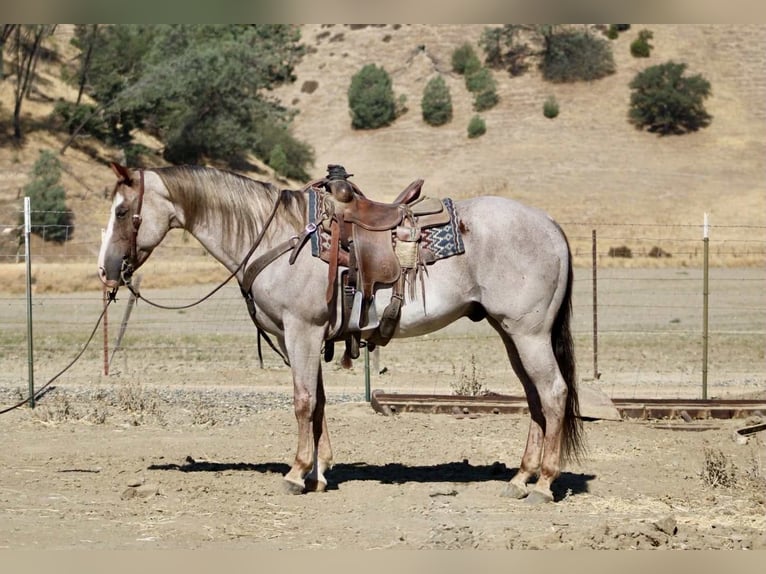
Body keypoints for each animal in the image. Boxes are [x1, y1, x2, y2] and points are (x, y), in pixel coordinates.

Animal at [97, 162, 584, 504]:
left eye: (122, 211)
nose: (105, 271)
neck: (277, 237)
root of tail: (551, 226)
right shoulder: (307, 336)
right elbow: (318, 402)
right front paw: (320, 472)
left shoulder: (302, 331)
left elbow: (302, 400)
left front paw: (296, 474)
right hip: (511, 334)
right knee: (536, 399)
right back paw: (520, 478)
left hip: (529, 333)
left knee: (554, 394)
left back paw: (544, 485)